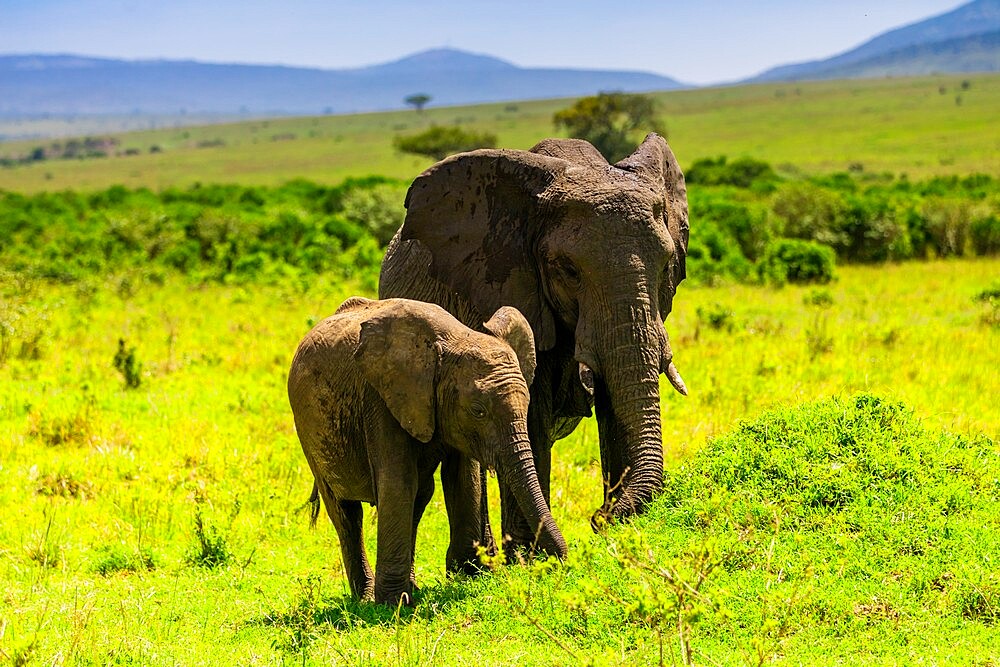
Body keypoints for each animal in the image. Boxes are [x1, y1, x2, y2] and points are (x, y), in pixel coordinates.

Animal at [290, 298, 572, 604]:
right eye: (478, 410)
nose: (554, 564)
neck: (454, 340)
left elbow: (464, 480)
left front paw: (468, 577)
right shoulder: (381, 397)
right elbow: (398, 482)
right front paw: (393, 604)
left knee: (419, 498)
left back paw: (409, 588)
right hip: (309, 434)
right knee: (346, 513)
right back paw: (367, 598)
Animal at [376, 133, 688, 556]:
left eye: (667, 264)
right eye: (568, 270)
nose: (599, 519)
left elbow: (616, 401)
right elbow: (532, 413)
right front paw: (530, 557)